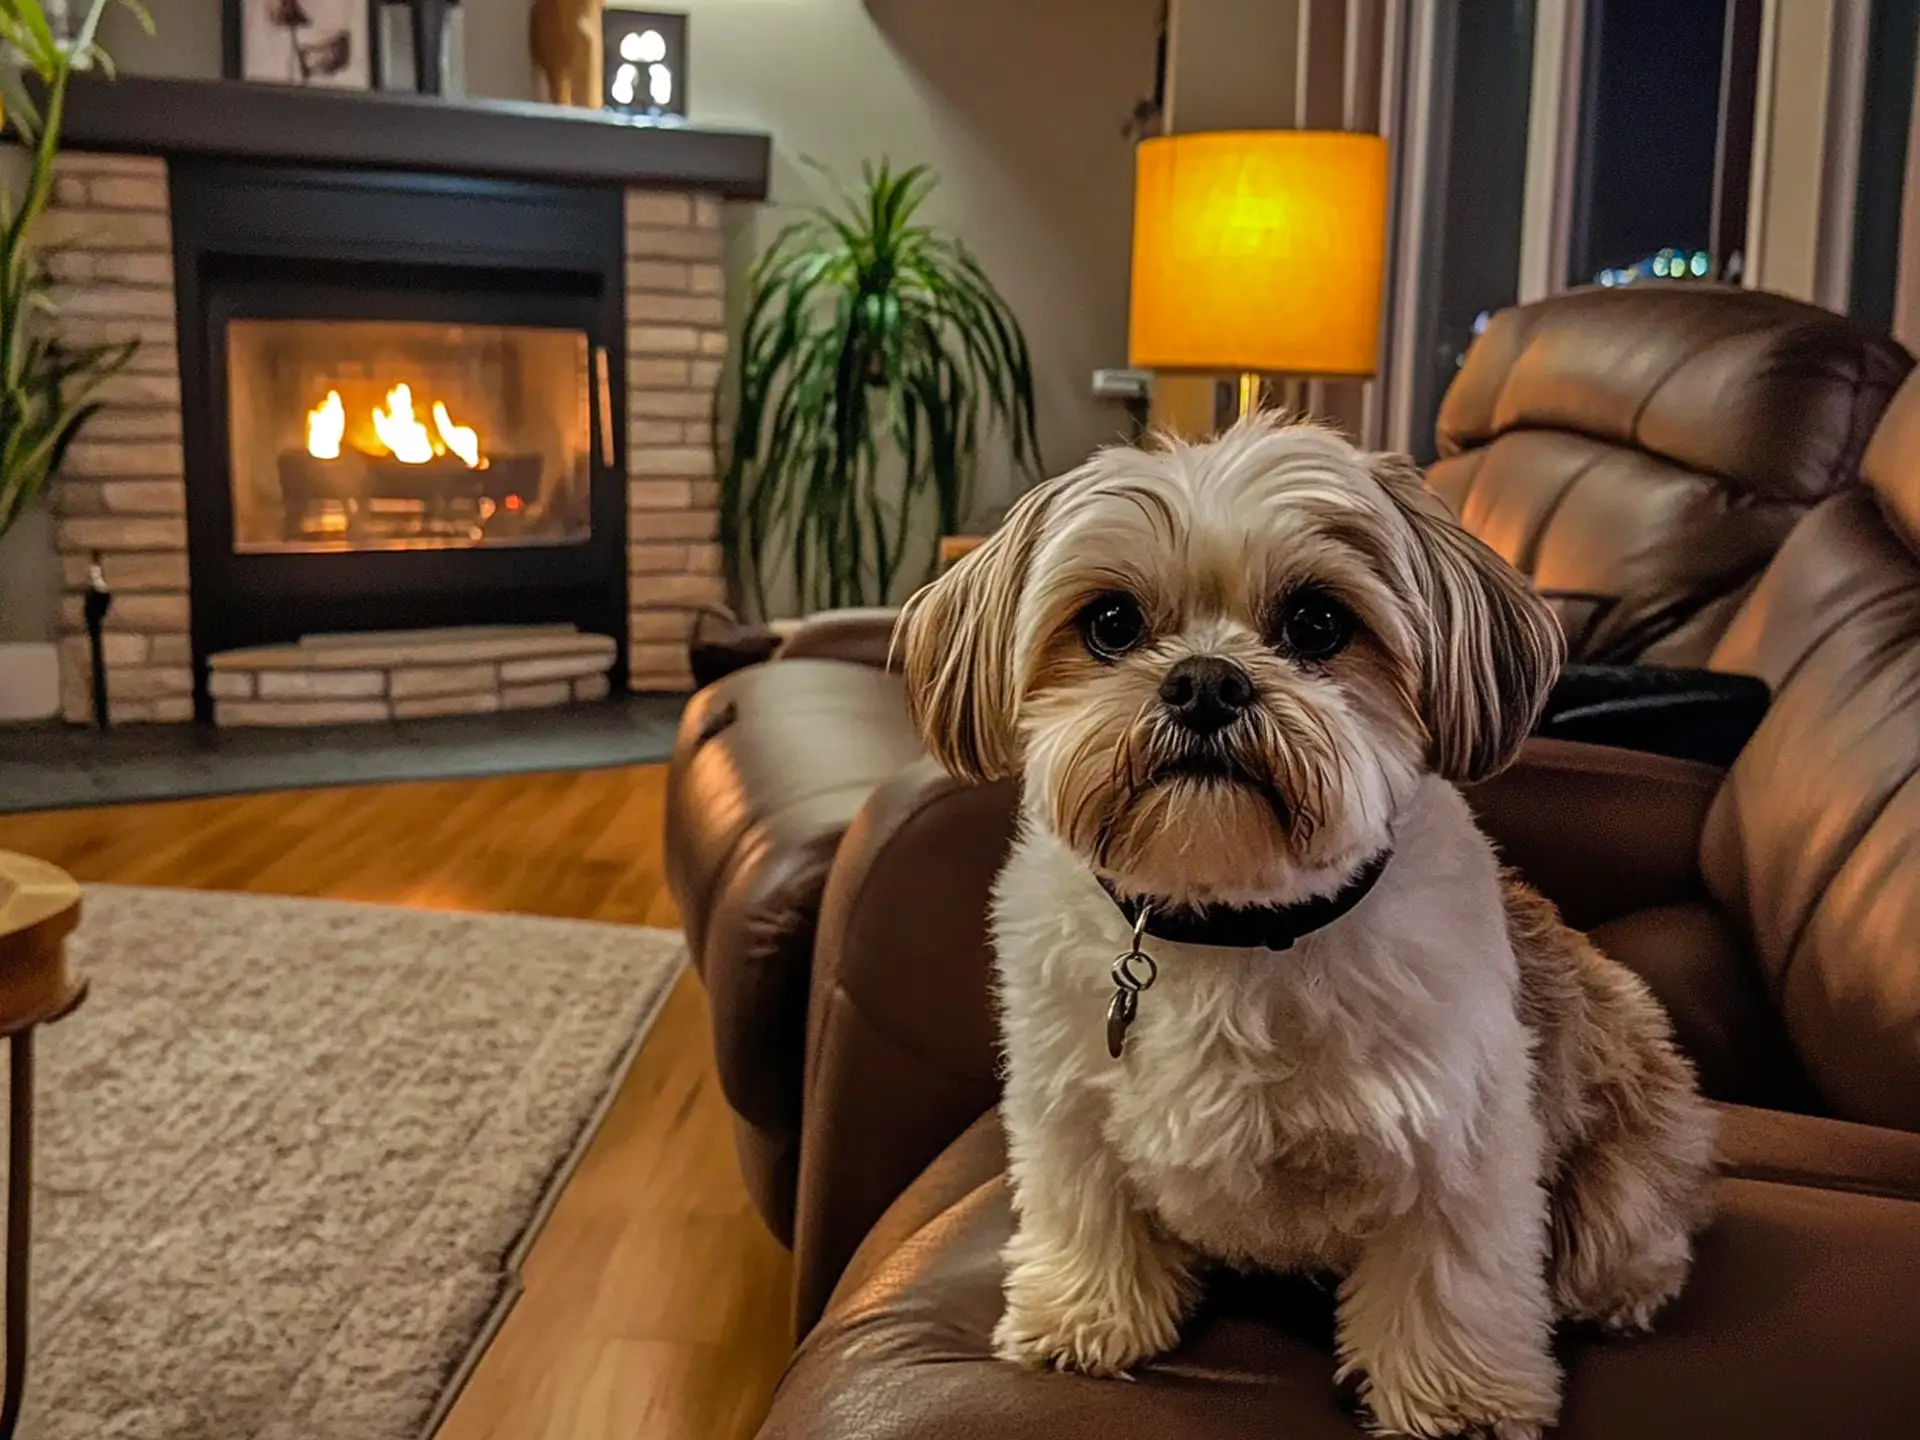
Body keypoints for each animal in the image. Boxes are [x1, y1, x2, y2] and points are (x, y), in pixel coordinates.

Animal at [898, 416, 1728, 1440]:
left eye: (1319, 624)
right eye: (1112, 624)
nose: (1205, 681)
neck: (1228, 928)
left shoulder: (1459, 1146)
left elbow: (1448, 1278)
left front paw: (1459, 1401)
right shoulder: (1067, 1109)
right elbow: (1088, 1212)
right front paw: (1085, 1317)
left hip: (1625, 1171)